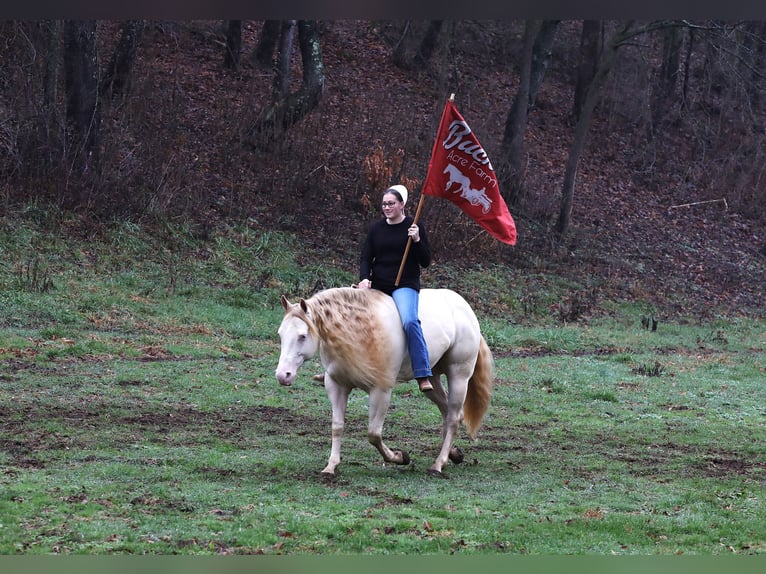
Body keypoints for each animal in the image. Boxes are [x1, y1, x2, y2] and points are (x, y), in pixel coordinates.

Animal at [272, 288, 496, 482]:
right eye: (280, 334)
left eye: (303, 335)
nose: (283, 375)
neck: (359, 332)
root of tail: (464, 307)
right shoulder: (336, 386)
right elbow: (337, 426)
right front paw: (331, 466)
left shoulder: (381, 391)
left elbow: (373, 434)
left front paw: (400, 457)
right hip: (431, 379)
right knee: (448, 411)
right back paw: (453, 454)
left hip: (459, 376)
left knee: (453, 417)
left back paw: (438, 464)